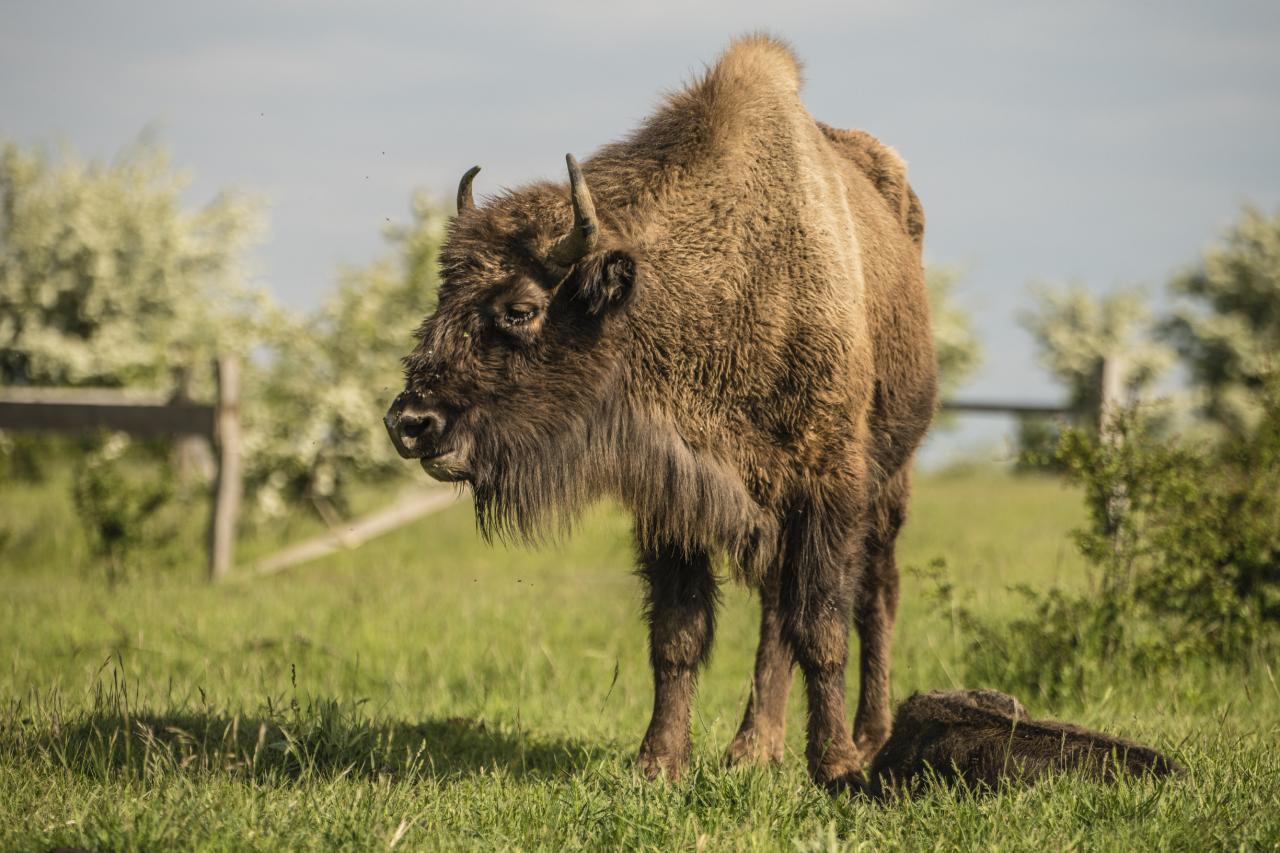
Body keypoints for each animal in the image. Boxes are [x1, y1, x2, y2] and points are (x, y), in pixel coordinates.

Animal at [385, 35, 938, 793]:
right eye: (440, 300)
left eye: (521, 308)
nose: (411, 423)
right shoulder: (677, 497)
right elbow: (680, 633)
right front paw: (658, 763)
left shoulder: (830, 484)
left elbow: (823, 626)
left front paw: (836, 768)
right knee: (776, 609)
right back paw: (752, 748)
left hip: (889, 482)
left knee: (874, 595)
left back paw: (867, 736)